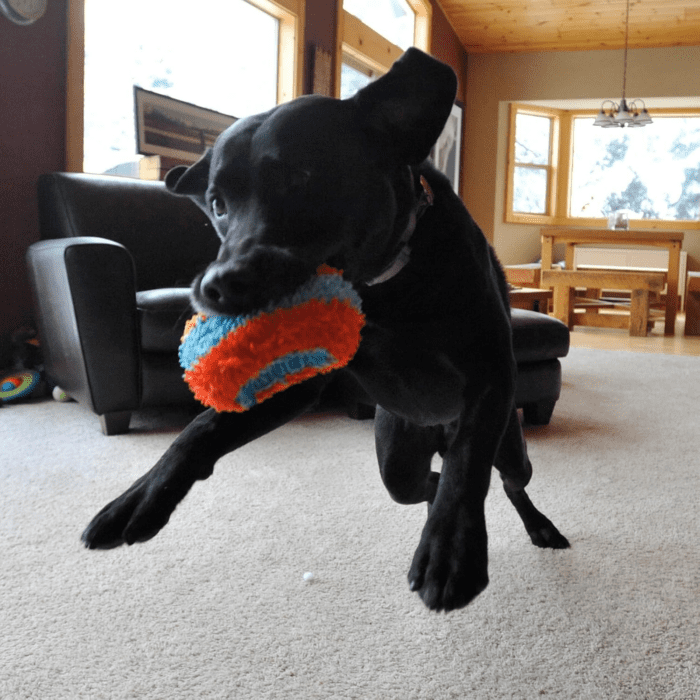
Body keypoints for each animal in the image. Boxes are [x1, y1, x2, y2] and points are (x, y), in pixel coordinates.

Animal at [85, 49, 572, 612]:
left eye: (300, 177)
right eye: (218, 204)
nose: (216, 285)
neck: (385, 290)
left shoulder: (490, 374)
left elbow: (468, 463)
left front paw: (451, 548)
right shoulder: (300, 381)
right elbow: (198, 430)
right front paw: (139, 497)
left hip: (511, 446)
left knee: (505, 480)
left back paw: (536, 526)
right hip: (396, 459)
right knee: (421, 485)